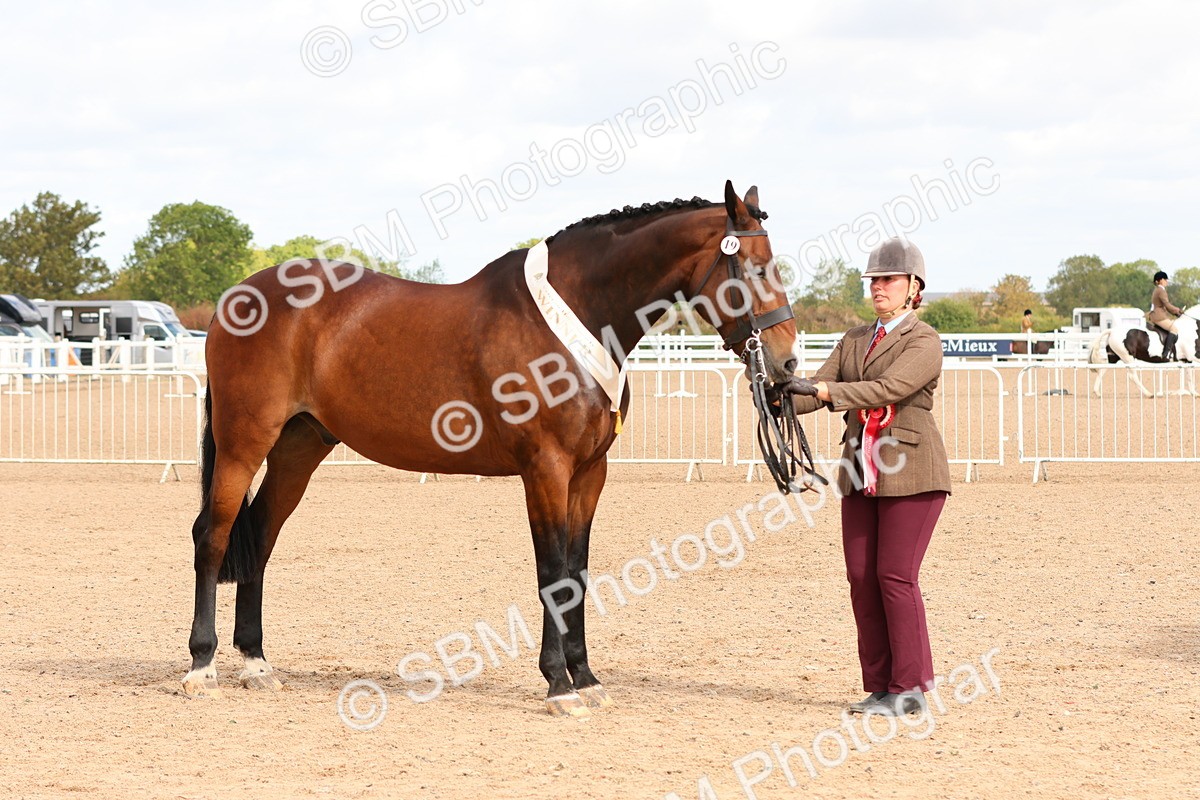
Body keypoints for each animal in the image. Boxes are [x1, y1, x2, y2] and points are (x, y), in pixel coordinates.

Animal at [184, 182, 801, 718]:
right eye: (754, 268)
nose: (787, 363)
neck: (573, 319)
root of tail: (237, 299)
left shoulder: (589, 473)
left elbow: (578, 572)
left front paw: (586, 678)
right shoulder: (545, 470)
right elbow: (553, 572)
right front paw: (558, 686)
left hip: (299, 447)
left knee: (261, 537)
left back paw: (256, 664)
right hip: (243, 444)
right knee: (213, 536)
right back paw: (201, 667)